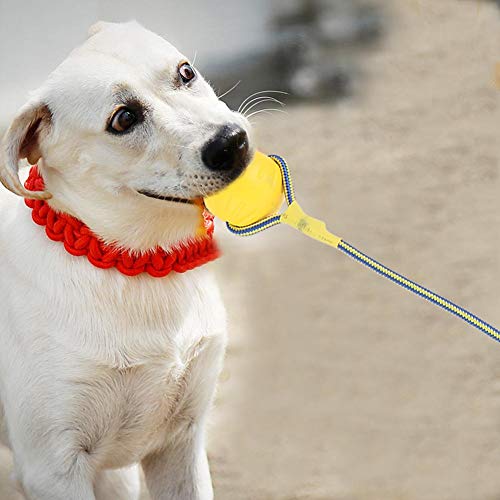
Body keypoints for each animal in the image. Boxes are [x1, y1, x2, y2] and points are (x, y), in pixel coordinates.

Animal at [0, 21, 252, 498]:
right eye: (124, 119)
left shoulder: (182, 443)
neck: (134, 267)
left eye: (186, 72)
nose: (232, 142)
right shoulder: (53, 468)